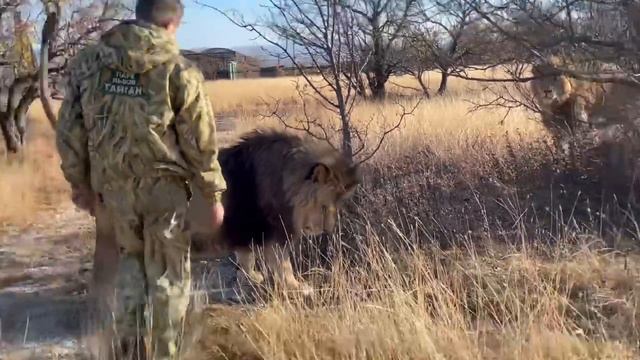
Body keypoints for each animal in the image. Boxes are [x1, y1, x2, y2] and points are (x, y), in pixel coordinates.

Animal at [188, 129, 362, 296]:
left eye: (339, 205)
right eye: (324, 206)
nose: (327, 231)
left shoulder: (246, 230)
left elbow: (246, 258)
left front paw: (251, 277)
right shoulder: (276, 233)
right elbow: (284, 264)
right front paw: (297, 287)